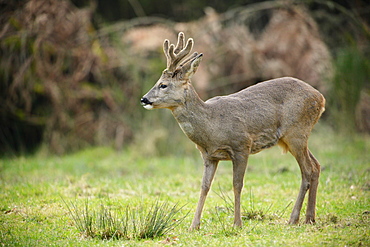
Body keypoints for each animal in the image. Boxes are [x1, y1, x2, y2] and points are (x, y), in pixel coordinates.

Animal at [140, 32, 326, 230]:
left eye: (163, 85)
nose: (144, 99)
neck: (212, 126)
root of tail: (321, 98)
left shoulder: (241, 146)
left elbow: (237, 184)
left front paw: (237, 223)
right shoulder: (209, 156)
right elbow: (204, 186)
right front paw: (194, 225)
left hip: (296, 132)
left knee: (307, 170)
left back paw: (294, 218)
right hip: (293, 137)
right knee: (316, 166)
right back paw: (310, 218)